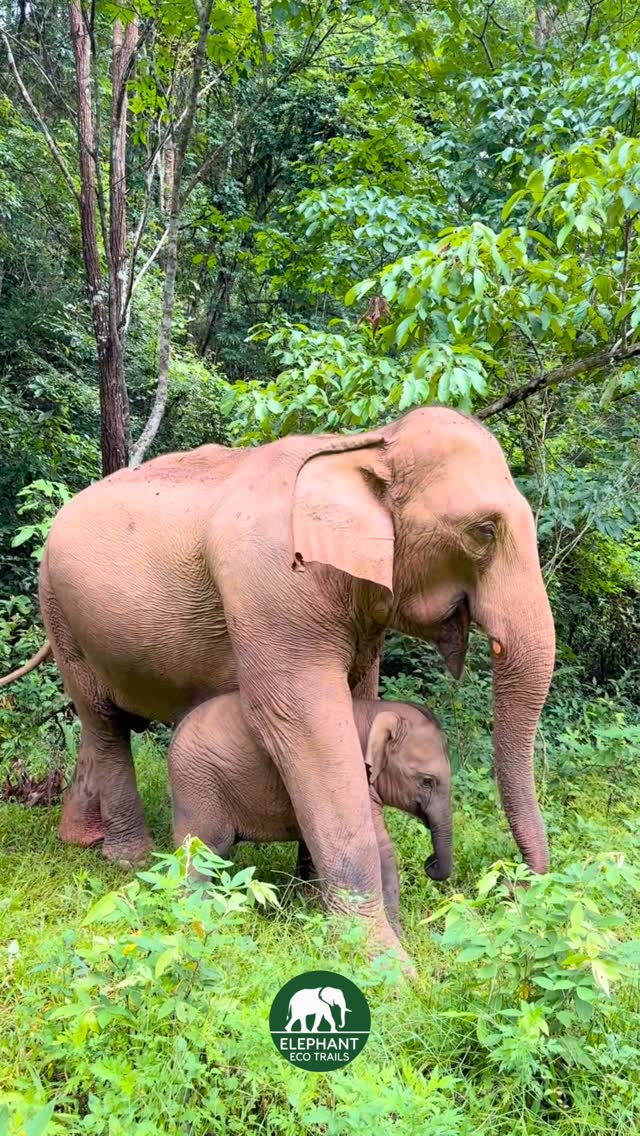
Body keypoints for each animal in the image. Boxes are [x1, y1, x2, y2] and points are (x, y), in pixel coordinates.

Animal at [169, 694, 453, 931]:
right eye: (427, 781)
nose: (430, 863)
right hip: (198, 784)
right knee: (202, 851)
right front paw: (398, 936)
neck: (375, 711)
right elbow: (379, 848)